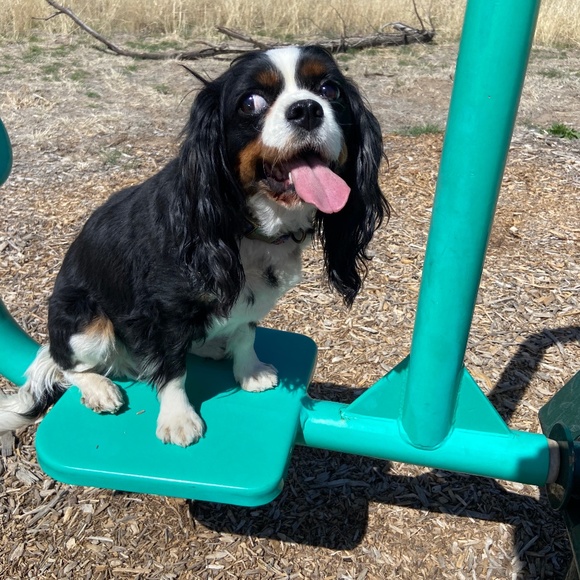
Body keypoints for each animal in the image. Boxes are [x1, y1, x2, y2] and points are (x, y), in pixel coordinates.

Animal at [0, 45, 388, 447]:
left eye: (329, 90)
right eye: (250, 102)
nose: (308, 109)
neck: (246, 226)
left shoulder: (248, 300)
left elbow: (245, 332)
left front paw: (249, 371)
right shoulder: (166, 310)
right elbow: (173, 368)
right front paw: (178, 419)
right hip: (86, 323)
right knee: (65, 363)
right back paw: (99, 389)